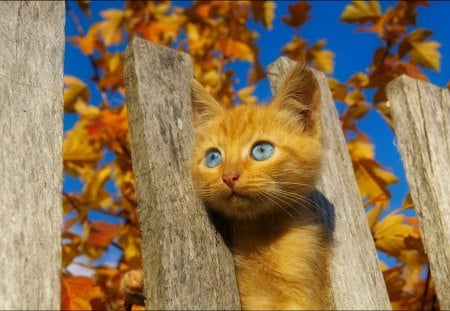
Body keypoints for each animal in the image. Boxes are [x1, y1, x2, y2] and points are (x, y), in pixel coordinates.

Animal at [121, 61, 332, 310]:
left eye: (262, 150)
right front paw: (136, 282)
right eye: (213, 157)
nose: (229, 176)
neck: (260, 233)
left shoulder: (303, 290)